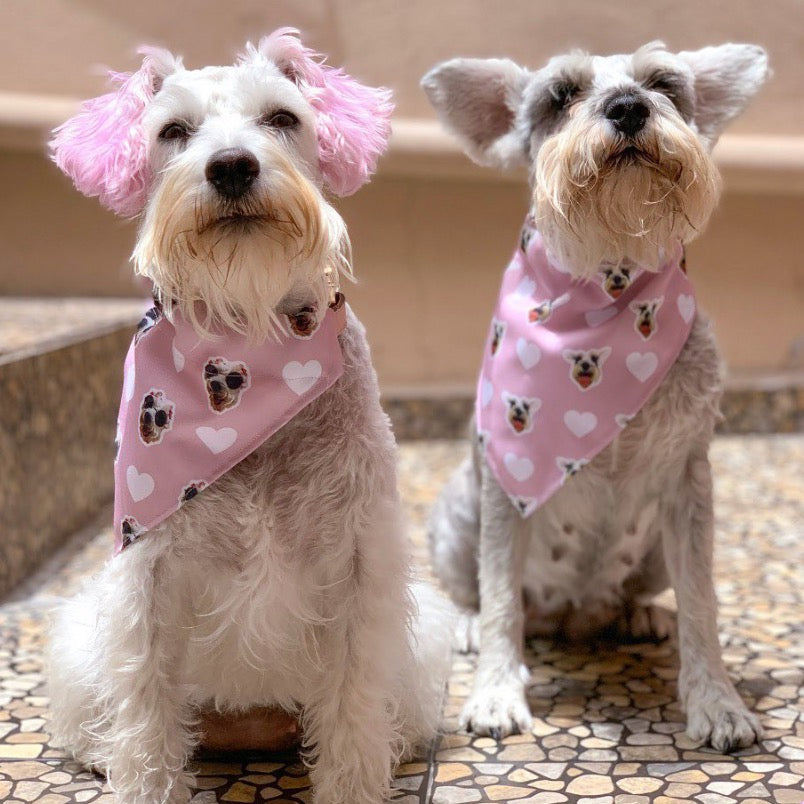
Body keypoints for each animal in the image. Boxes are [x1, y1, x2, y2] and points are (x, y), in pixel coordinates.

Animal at [47, 28, 452, 800]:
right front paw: (144, 780)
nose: (232, 166)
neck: (247, 344)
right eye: (172, 131)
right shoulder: (148, 573)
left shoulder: (360, 566)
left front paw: (352, 782)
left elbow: (352, 697)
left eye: (283, 117)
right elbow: (145, 701)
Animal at [424, 40, 768, 752]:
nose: (630, 107)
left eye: (663, 83)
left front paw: (718, 703)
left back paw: (639, 615)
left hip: (654, 551)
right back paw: (469, 626)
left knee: (637, 597)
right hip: (456, 516)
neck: (609, 279)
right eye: (561, 95)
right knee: (477, 594)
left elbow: (703, 602)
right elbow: (501, 598)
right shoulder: (505, 489)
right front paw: (496, 693)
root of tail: (572, 617)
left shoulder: (690, 488)